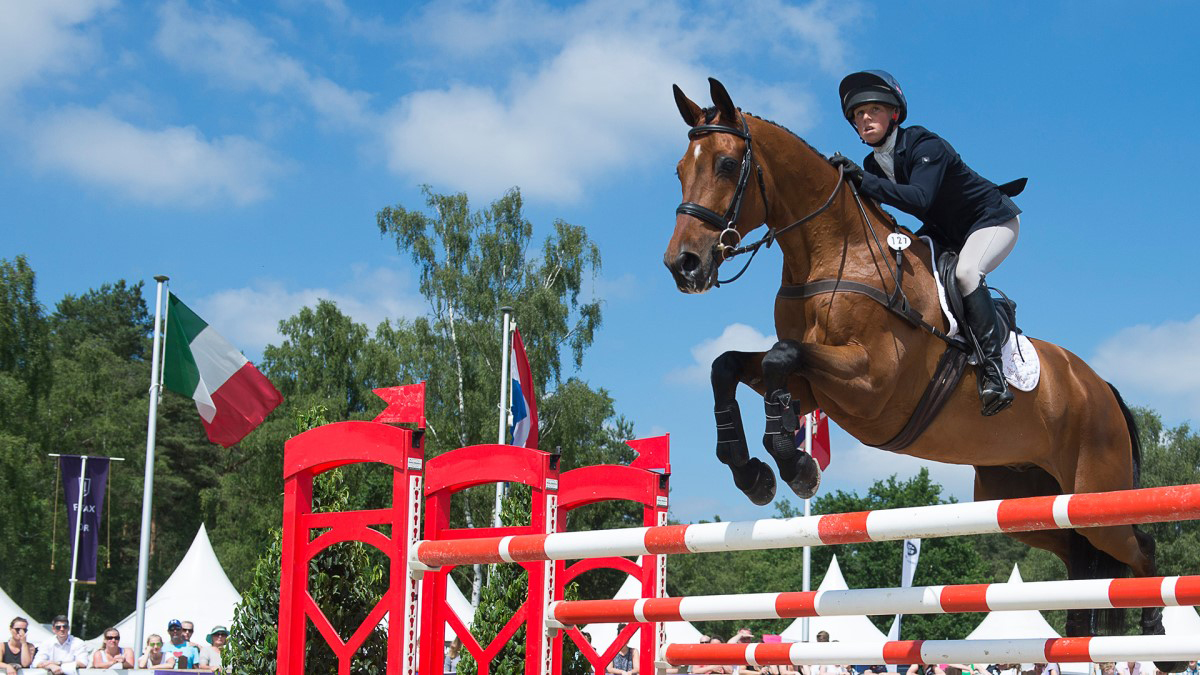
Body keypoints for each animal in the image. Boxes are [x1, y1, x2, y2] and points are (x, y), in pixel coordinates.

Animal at [663, 78, 1173, 651]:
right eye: (680, 169)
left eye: (728, 165)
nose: (684, 265)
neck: (835, 253)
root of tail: (1100, 386)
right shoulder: (817, 388)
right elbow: (727, 365)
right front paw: (752, 472)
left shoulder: (871, 384)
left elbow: (779, 357)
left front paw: (795, 467)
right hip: (1022, 499)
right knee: (1079, 561)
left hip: (1096, 494)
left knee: (1141, 547)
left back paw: (1158, 637)